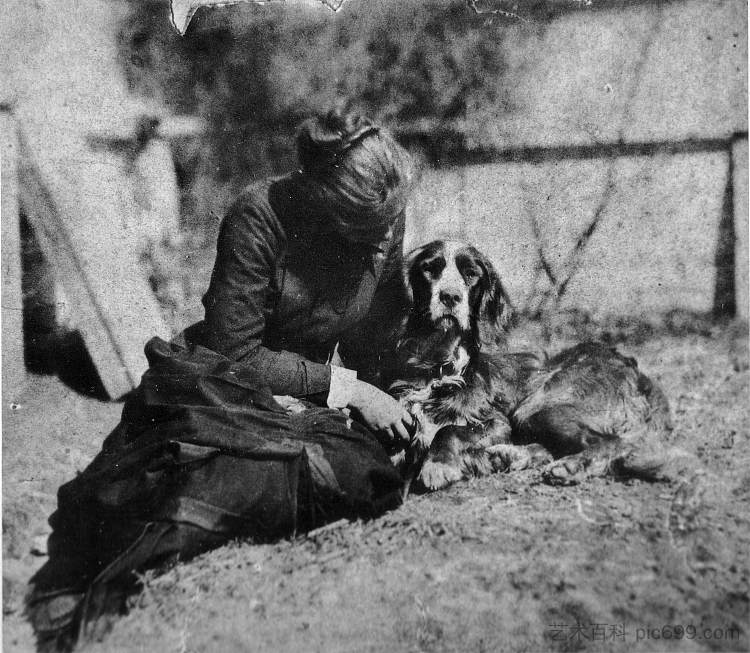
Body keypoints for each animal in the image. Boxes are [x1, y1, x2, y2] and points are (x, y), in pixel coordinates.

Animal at [384, 239, 680, 488]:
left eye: (471, 274)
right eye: (429, 269)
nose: (450, 296)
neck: (438, 367)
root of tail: (633, 367)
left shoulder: (498, 422)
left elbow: (449, 430)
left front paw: (438, 465)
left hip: (536, 408)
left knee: (611, 442)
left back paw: (569, 467)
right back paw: (508, 456)